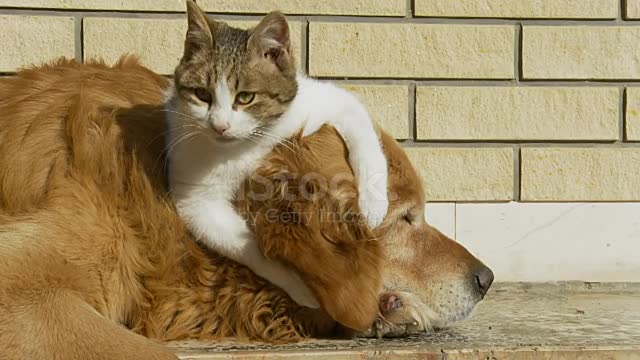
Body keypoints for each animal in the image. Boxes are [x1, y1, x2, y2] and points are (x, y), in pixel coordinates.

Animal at [165, 0, 388, 310]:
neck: (246, 145)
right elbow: (245, 246)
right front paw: (301, 287)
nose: (219, 126)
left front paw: (373, 205)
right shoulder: (196, 201)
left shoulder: (330, 102)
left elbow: (365, 141)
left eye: (245, 97)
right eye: (202, 94)